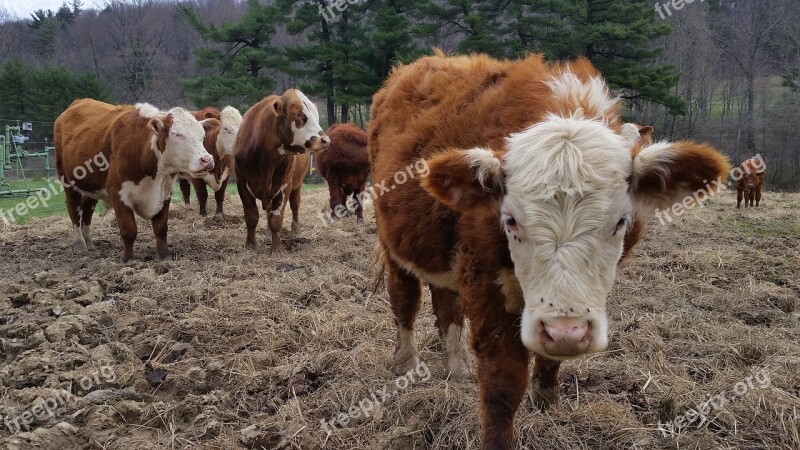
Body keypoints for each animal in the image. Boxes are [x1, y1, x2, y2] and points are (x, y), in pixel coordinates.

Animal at [54, 98, 219, 260]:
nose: (207, 159)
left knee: (87, 211)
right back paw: (80, 245)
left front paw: (164, 255)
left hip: (92, 187)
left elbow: (161, 228)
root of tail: (78, 102)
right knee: (74, 210)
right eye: (176, 134)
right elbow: (129, 230)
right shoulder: (118, 194)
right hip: (68, 182)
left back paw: (89, 243)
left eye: (202, 135)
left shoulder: (165, 192)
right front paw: (128, 259)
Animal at [233, 88, 330, 253]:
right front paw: (251, 245)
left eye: (315, 115)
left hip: (297, 185)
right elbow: (251, 216)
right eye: (299, 114)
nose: (325, 140)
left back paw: (296, 230)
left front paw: (276, 249)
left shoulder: (284, 185)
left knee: (295, 205)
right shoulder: (242, 183)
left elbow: (276, 219)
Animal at [368, 53, 732, 450]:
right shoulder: (483, 280)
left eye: (621, 221)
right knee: (405, 301)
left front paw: (545, 398)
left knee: (446, 305)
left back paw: (457, 367)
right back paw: (406, 363)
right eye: (510, 220)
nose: (567, 332)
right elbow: (502, 383)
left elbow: (548, 359)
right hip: (393, 247)